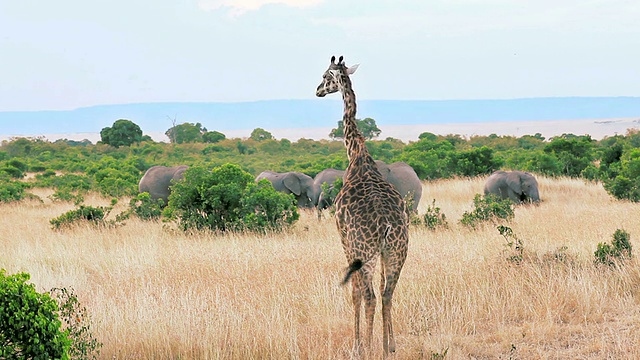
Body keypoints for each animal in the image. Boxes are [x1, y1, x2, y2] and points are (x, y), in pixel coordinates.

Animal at [316, 54, 410, 356]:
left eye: (325, 75)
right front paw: (388, 343)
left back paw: (368, 349)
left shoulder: (344, 239)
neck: (356, 154)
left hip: (365, 251)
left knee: (369, 295)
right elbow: (380, 289)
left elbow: (355, 292)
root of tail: (386, 226)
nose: (317, 90)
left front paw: (357, 345)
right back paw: (387, 348)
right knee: (387, 293)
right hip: (397, 251)